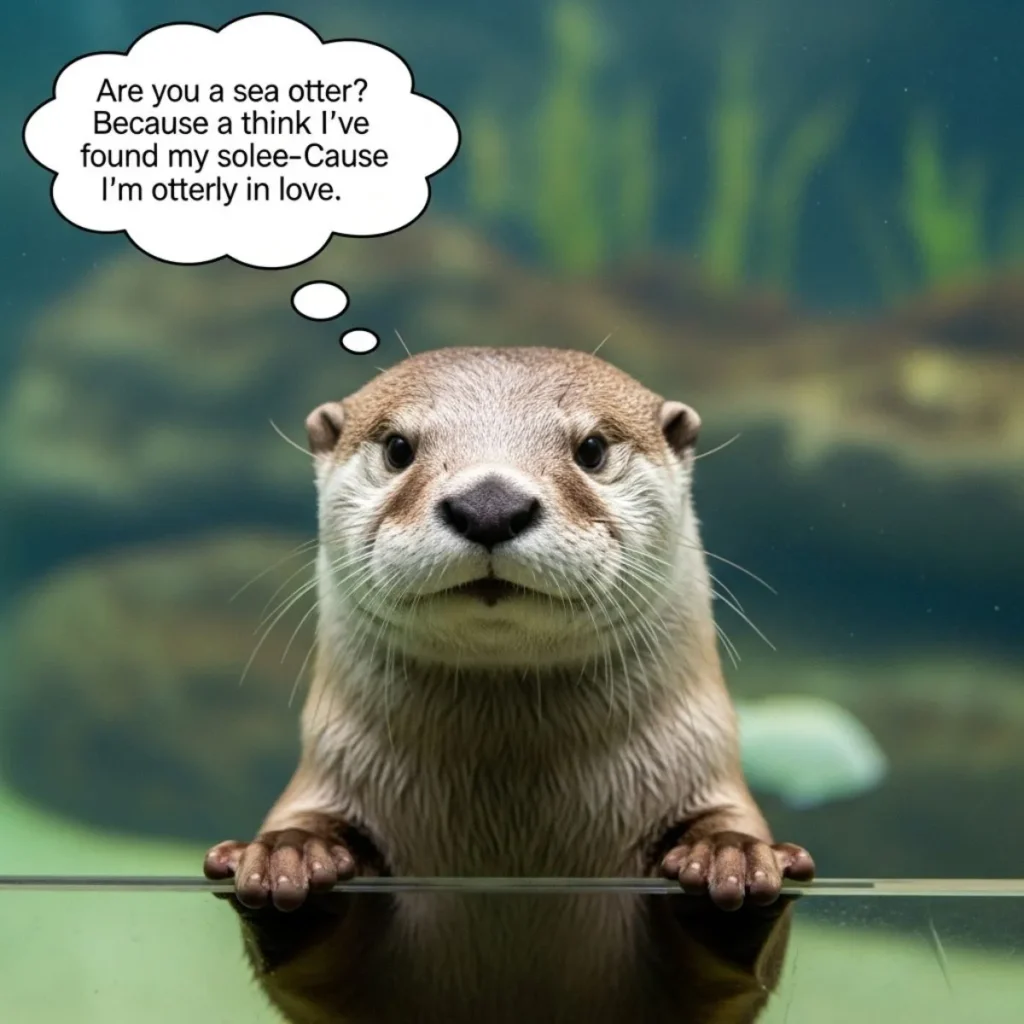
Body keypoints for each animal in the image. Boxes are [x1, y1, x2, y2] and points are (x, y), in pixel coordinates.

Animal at [204, 346, 815, 1024]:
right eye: (397, 447)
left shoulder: (707, 771)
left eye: (592, 448)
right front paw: (289, 856)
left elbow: (740, 963)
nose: (490, 504)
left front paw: (730, 858)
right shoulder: (326, 774)